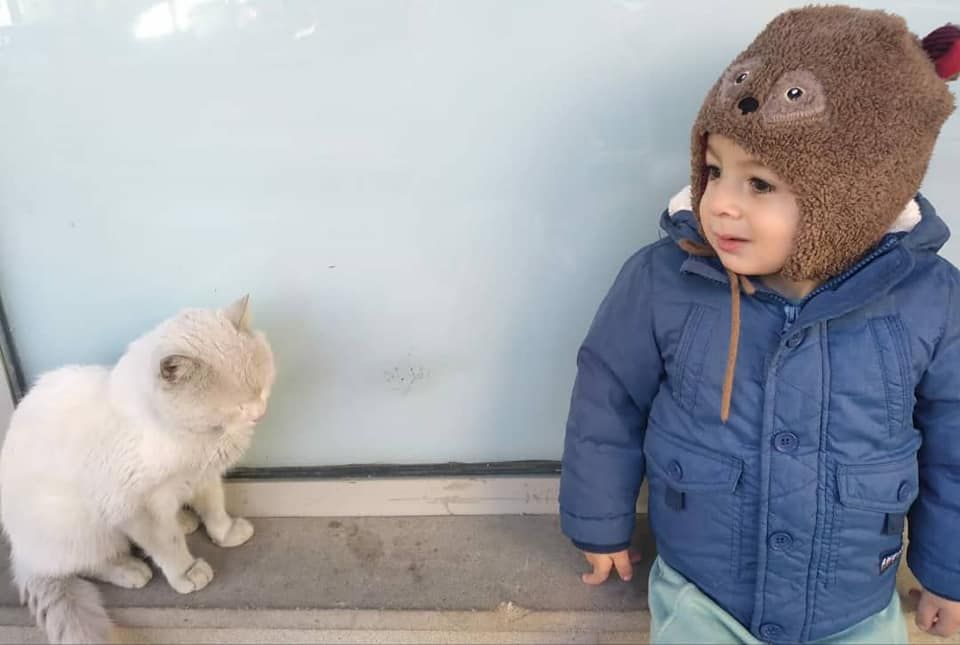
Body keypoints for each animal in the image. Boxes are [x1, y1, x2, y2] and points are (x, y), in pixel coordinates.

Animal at [0, 294, 278, 640]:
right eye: (237, 406)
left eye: (261, 388)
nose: (259, 412)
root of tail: (21, 555)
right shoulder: (135, 506)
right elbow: (167, 543)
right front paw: (187, 572)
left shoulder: (204, 476)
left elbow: (214, 508)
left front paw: (225, 533)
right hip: (81, 528)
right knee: (85, 563)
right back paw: (129, 569)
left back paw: (184, 520)